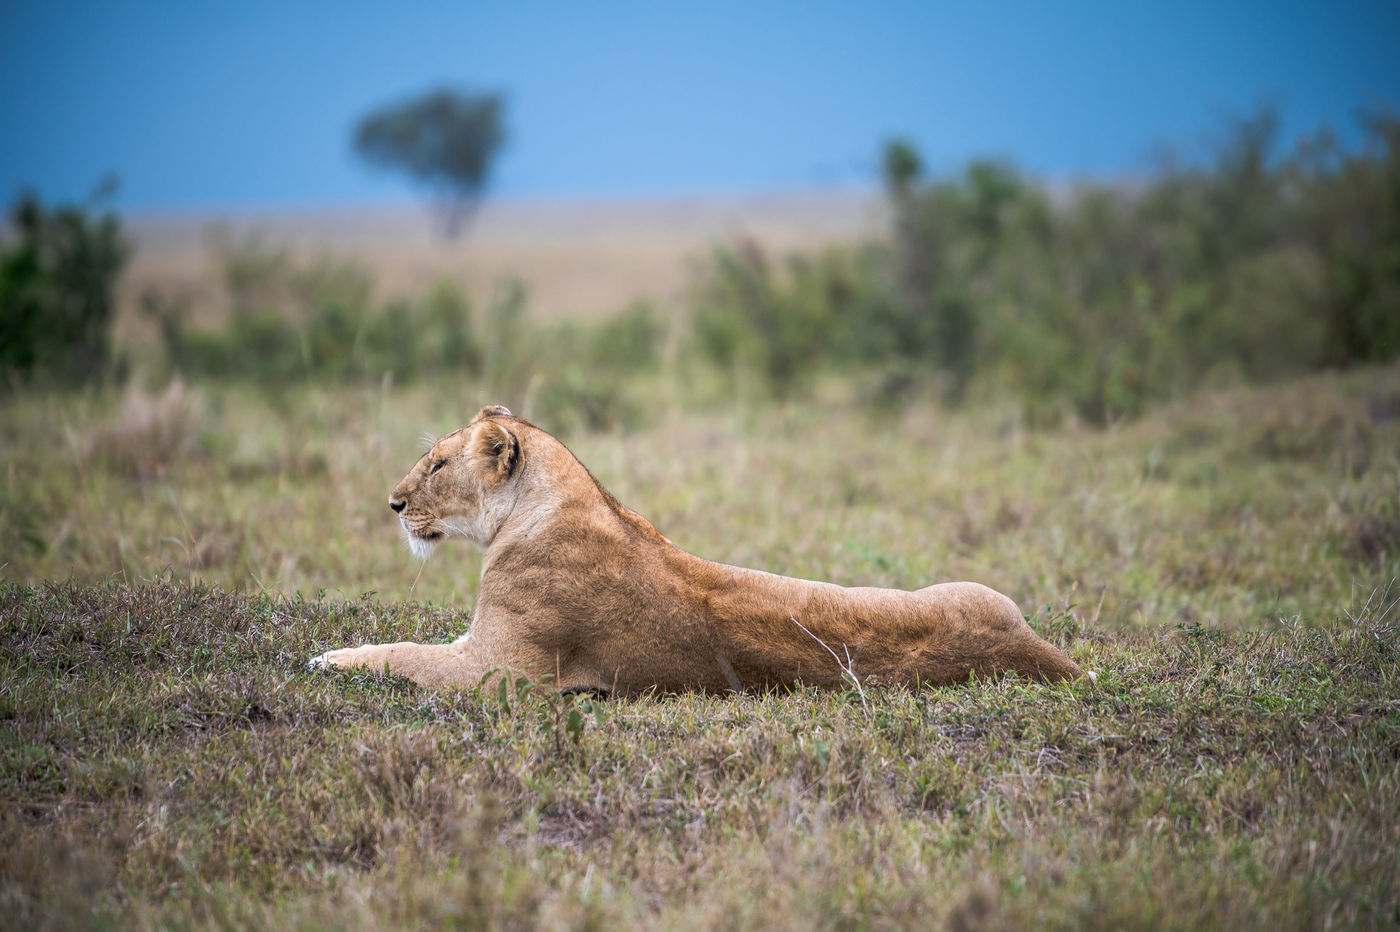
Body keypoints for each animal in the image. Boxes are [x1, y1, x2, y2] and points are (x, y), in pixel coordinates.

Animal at [311, 405, 1089, 694]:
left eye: (438, 465)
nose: (394, 505)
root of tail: (1044, 655)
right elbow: (413, 643)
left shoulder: (497, 670)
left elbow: (402, 655)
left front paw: (328, 658)